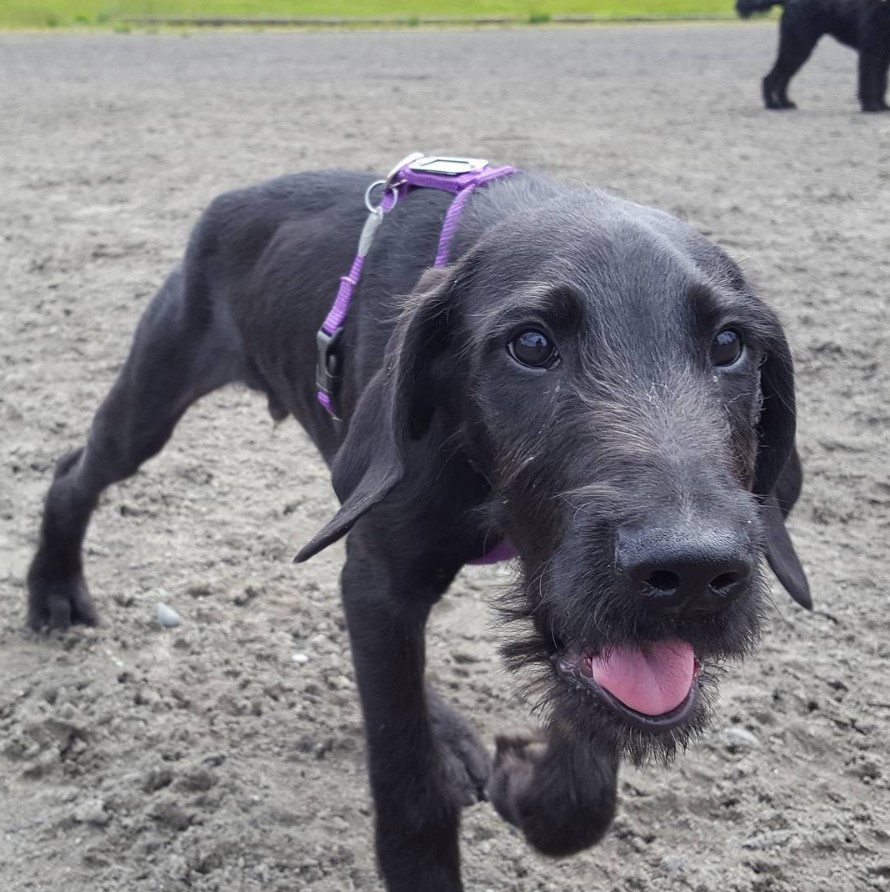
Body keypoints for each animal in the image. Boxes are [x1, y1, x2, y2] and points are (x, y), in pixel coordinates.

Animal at [26, 162, 812, 892]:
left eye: (730, 345)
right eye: (530, 345)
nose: (693, 573)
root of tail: (236, 197)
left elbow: (590, 753)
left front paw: (536, 791)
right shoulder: (384, 578)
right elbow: (407, 783)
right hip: (152, 403)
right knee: (73, 473)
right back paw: (52, 589)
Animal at [740, 0, 888, 111]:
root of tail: (788, 2)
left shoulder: (882, 56)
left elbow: (881, 83)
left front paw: (883, 105)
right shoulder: (869, 52)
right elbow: (868, 81)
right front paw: (870, 106)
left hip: (797, 51)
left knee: (783, 78)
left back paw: (785, 103)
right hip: (797, 47)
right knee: (771, 78)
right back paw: (772, 104)